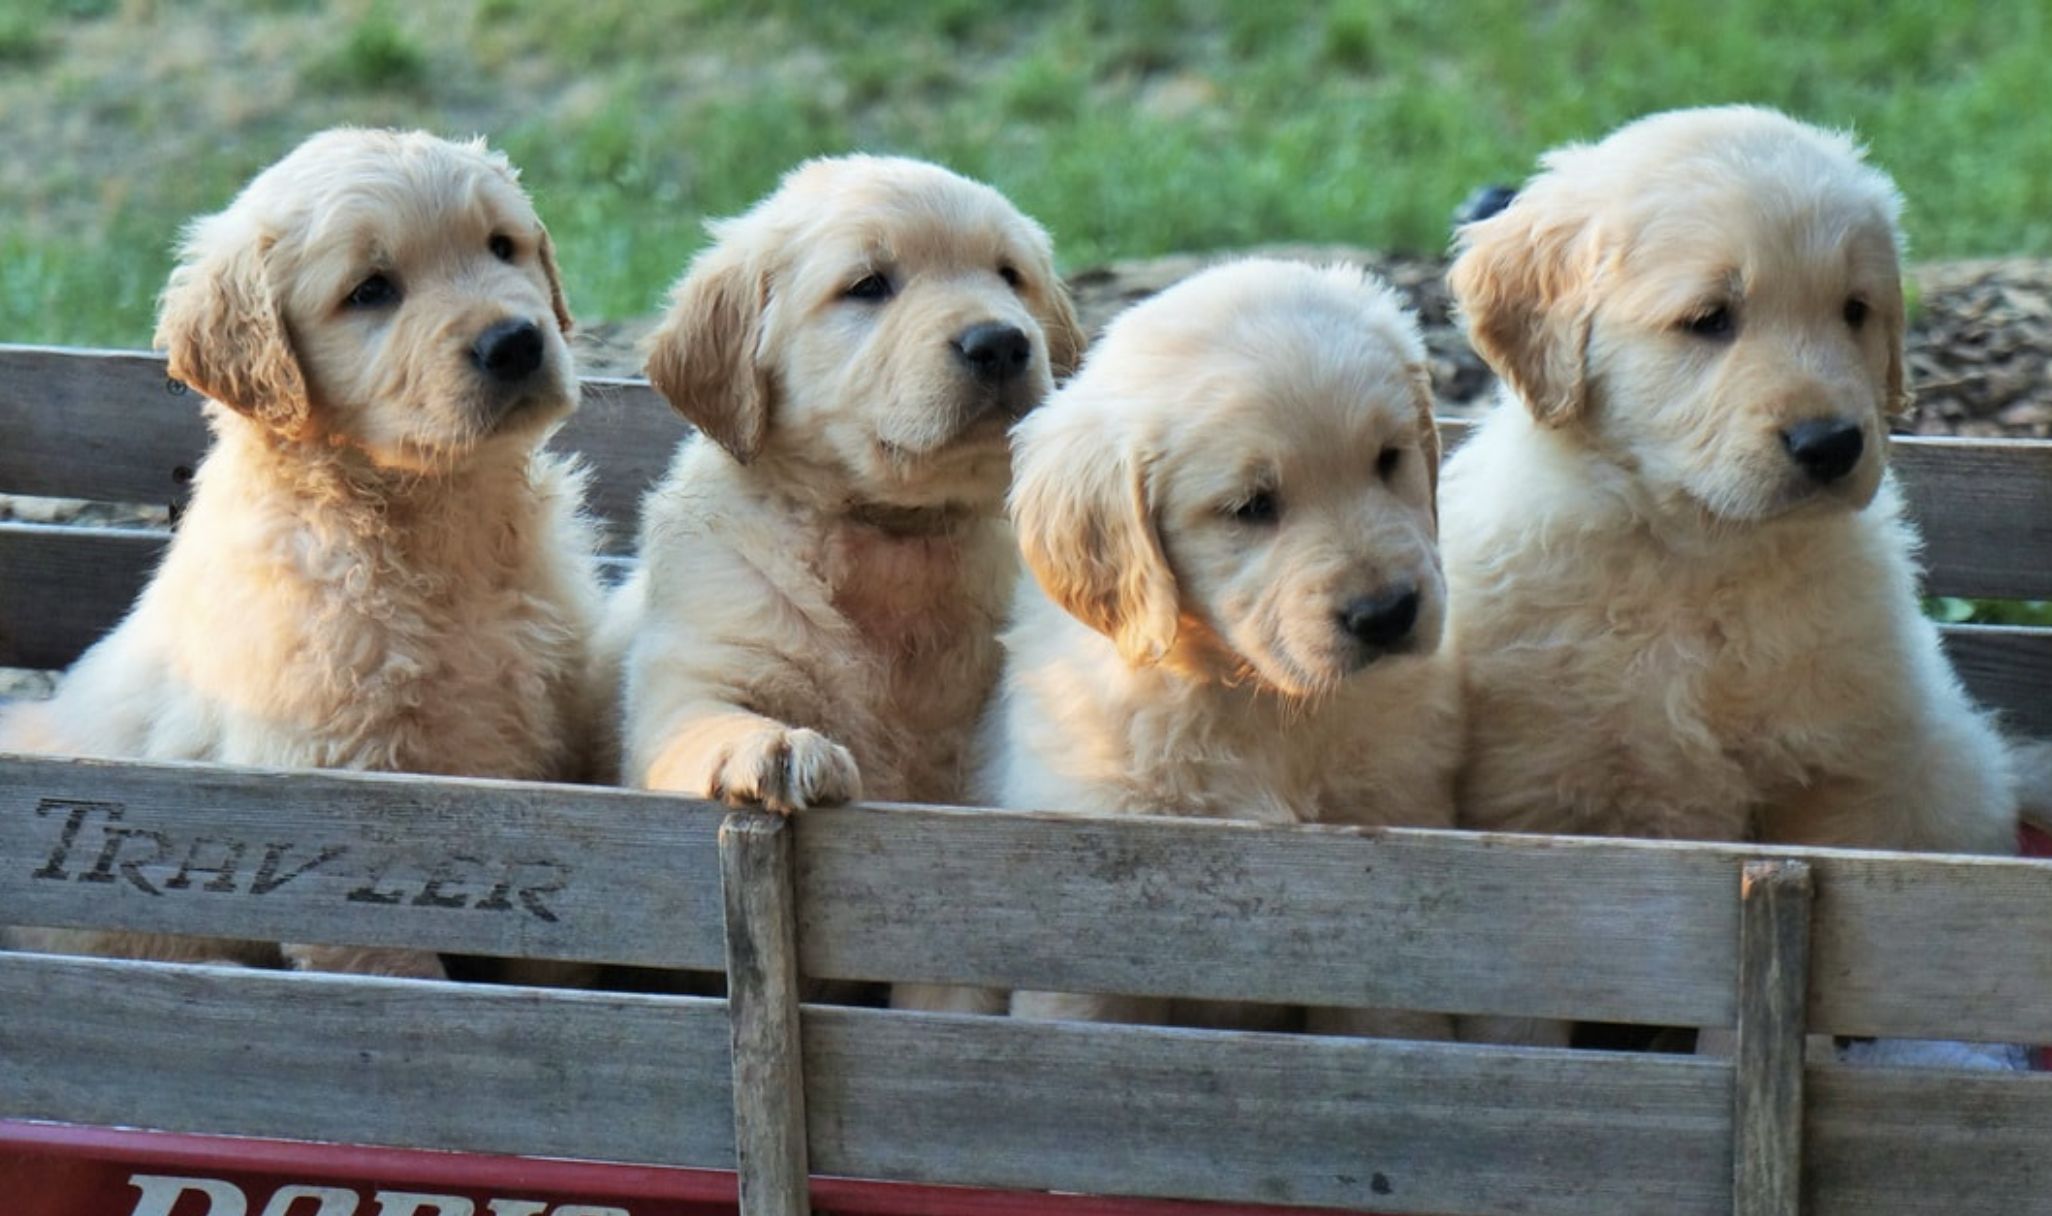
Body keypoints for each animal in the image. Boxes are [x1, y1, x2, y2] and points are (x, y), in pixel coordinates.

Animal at [0, 128, 603, 976]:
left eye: (501, 246)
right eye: (371, 290)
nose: (516, 342)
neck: (431, 521)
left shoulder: (543, 749)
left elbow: (553, 952)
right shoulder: (339, 809)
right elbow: (393, 968)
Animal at [603, 151, 1091, 816]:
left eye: (1010, 275)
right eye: (868, 286)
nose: (1000, 343)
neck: (894, 533)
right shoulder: (697, 668)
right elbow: (704, 720)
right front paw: (776, 746)